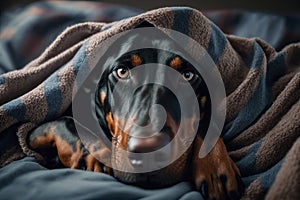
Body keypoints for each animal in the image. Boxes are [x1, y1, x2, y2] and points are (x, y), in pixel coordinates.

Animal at [27, 22, 244, 200]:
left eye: (187, 75)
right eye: (122, 71)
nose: (148, 151)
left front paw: (215, 165)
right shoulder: (31, 134)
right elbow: (65, 121)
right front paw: (93, 155)